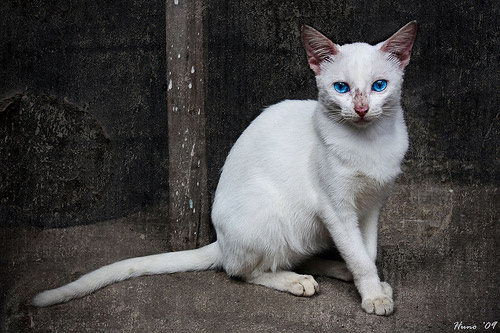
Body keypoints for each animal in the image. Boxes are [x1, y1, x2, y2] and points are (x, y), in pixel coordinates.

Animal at [32, 22, 418, 316]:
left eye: (379, 86)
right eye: (341, 88)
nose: (362, 109)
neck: (368, 144)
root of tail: (220, 240)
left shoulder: (371, 206)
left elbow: (366, 252)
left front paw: (372, 286)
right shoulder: (337, 209)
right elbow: (359, 255)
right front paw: (373, 295)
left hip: (309, 229)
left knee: (294, 256)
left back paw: (334, 269)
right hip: (271, 214)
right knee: (244, 270)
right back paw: (295, 281)